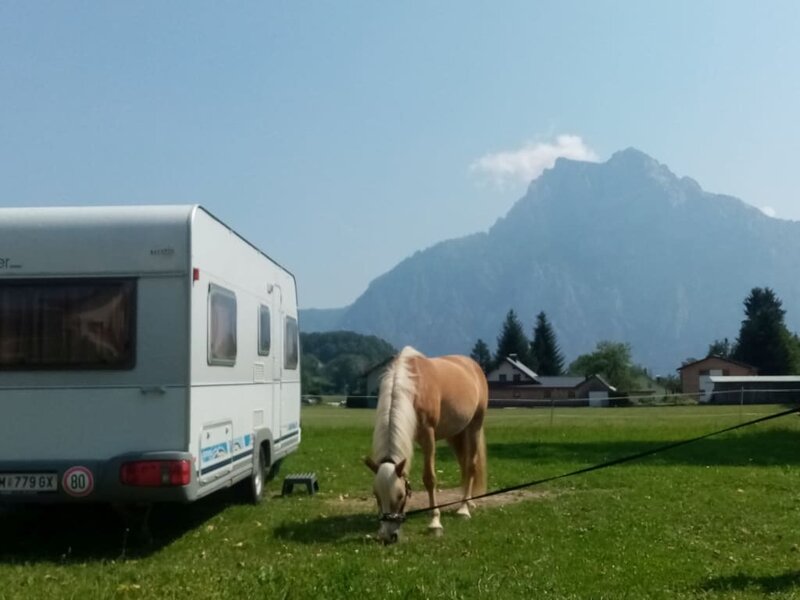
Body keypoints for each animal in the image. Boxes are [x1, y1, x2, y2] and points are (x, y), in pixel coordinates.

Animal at [364, 342, 488, 544]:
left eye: (400, 495)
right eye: (376, 495)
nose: (388, 536)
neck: (413, 388)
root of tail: (472, 365)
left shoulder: (428, 437)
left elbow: (430, 479)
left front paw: (435, 523)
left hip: (474, 427)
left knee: (470, 466)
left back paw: (463, 509)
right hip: (454, 434)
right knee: (464, 465)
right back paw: (468, 501)